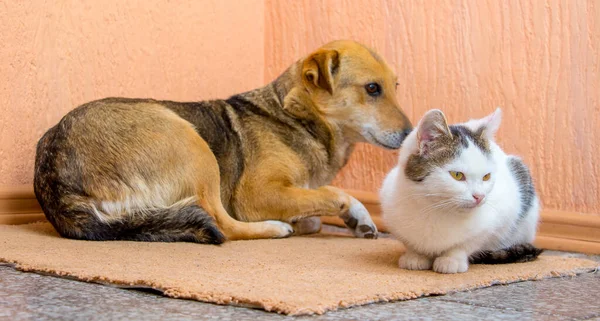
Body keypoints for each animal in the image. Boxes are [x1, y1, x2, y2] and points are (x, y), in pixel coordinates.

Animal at [34, 39, 412, 242]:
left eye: (395, 86)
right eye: (372, 89)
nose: (412, 135)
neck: (296, 117)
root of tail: (55, 177)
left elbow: (314, 212)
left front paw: (350, 219)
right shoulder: (257, 194)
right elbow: (332, 194)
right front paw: (354, 211)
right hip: (191, 141)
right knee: (220, 222)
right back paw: (274, 228)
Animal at [380, 108, 544, 272]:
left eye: (486, 176)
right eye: (457, 175)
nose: (479, 196)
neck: (433, 208)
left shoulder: (498, 217)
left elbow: (468, 243)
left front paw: (452, 259)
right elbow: (410, 242)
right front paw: (415, 256)